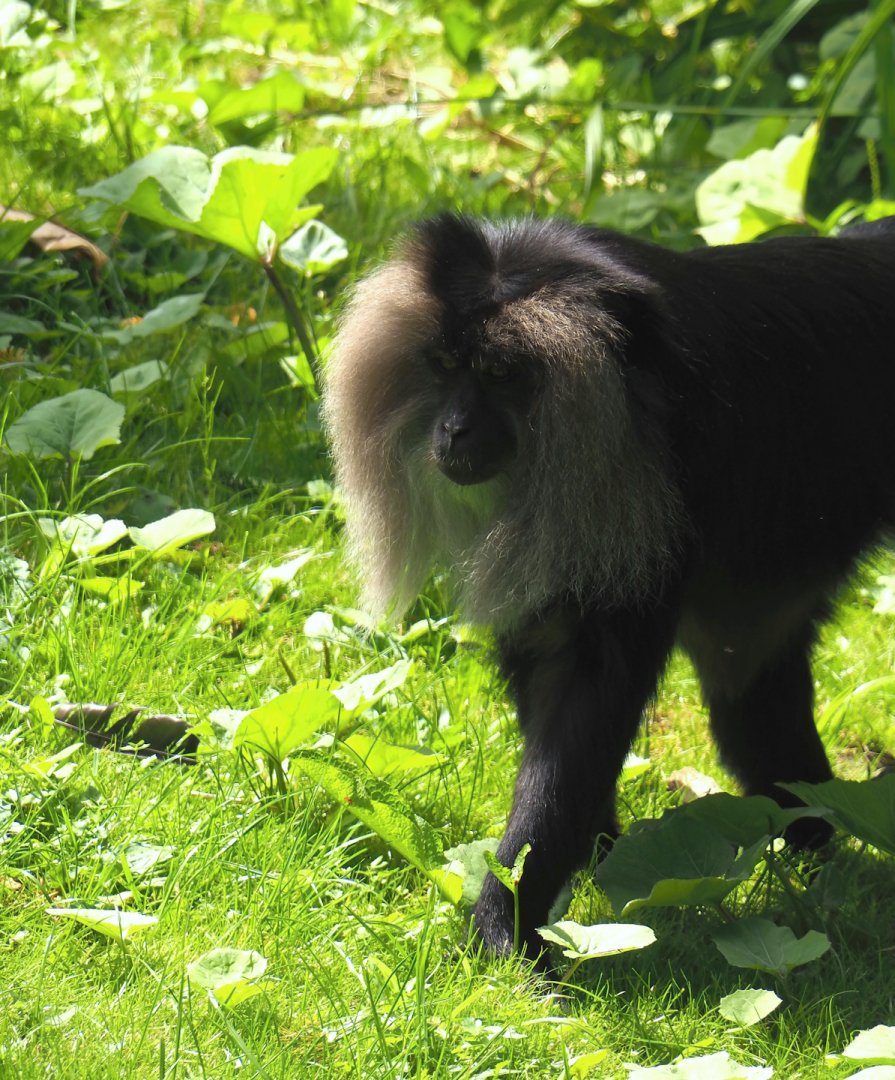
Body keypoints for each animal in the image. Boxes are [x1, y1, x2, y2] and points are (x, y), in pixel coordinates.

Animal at [323, 212, 895, 959]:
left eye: (501, 373)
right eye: (444, 365)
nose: (454, 430)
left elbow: (589, 703)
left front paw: (506, 921)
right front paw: (597, 859)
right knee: (755, 697)